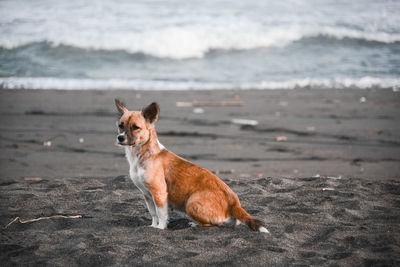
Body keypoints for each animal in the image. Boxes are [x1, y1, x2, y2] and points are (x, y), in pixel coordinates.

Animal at [114, 99, 268, 233]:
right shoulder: (147, 195)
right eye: (120, 125)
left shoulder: (159, 193)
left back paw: (195, 224)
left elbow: (161, 214)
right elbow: (153, 214)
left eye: (135, 127)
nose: (120, 138)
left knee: (212, 224)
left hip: (191, 204)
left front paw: (160, 229)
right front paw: (153, 226)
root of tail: (234, 203)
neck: (143, 155)